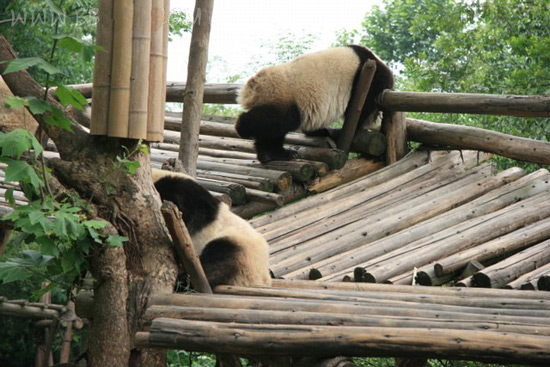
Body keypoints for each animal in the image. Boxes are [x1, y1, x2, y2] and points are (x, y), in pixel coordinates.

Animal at [235, 43, 394, 163]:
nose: (379, 118)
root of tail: (254, 87)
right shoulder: (367, 80)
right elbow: (360, 110)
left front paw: (321, 131)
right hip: (284, 94)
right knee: (276, 120)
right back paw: (244, 129)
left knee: (272, 130)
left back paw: (272, 154)